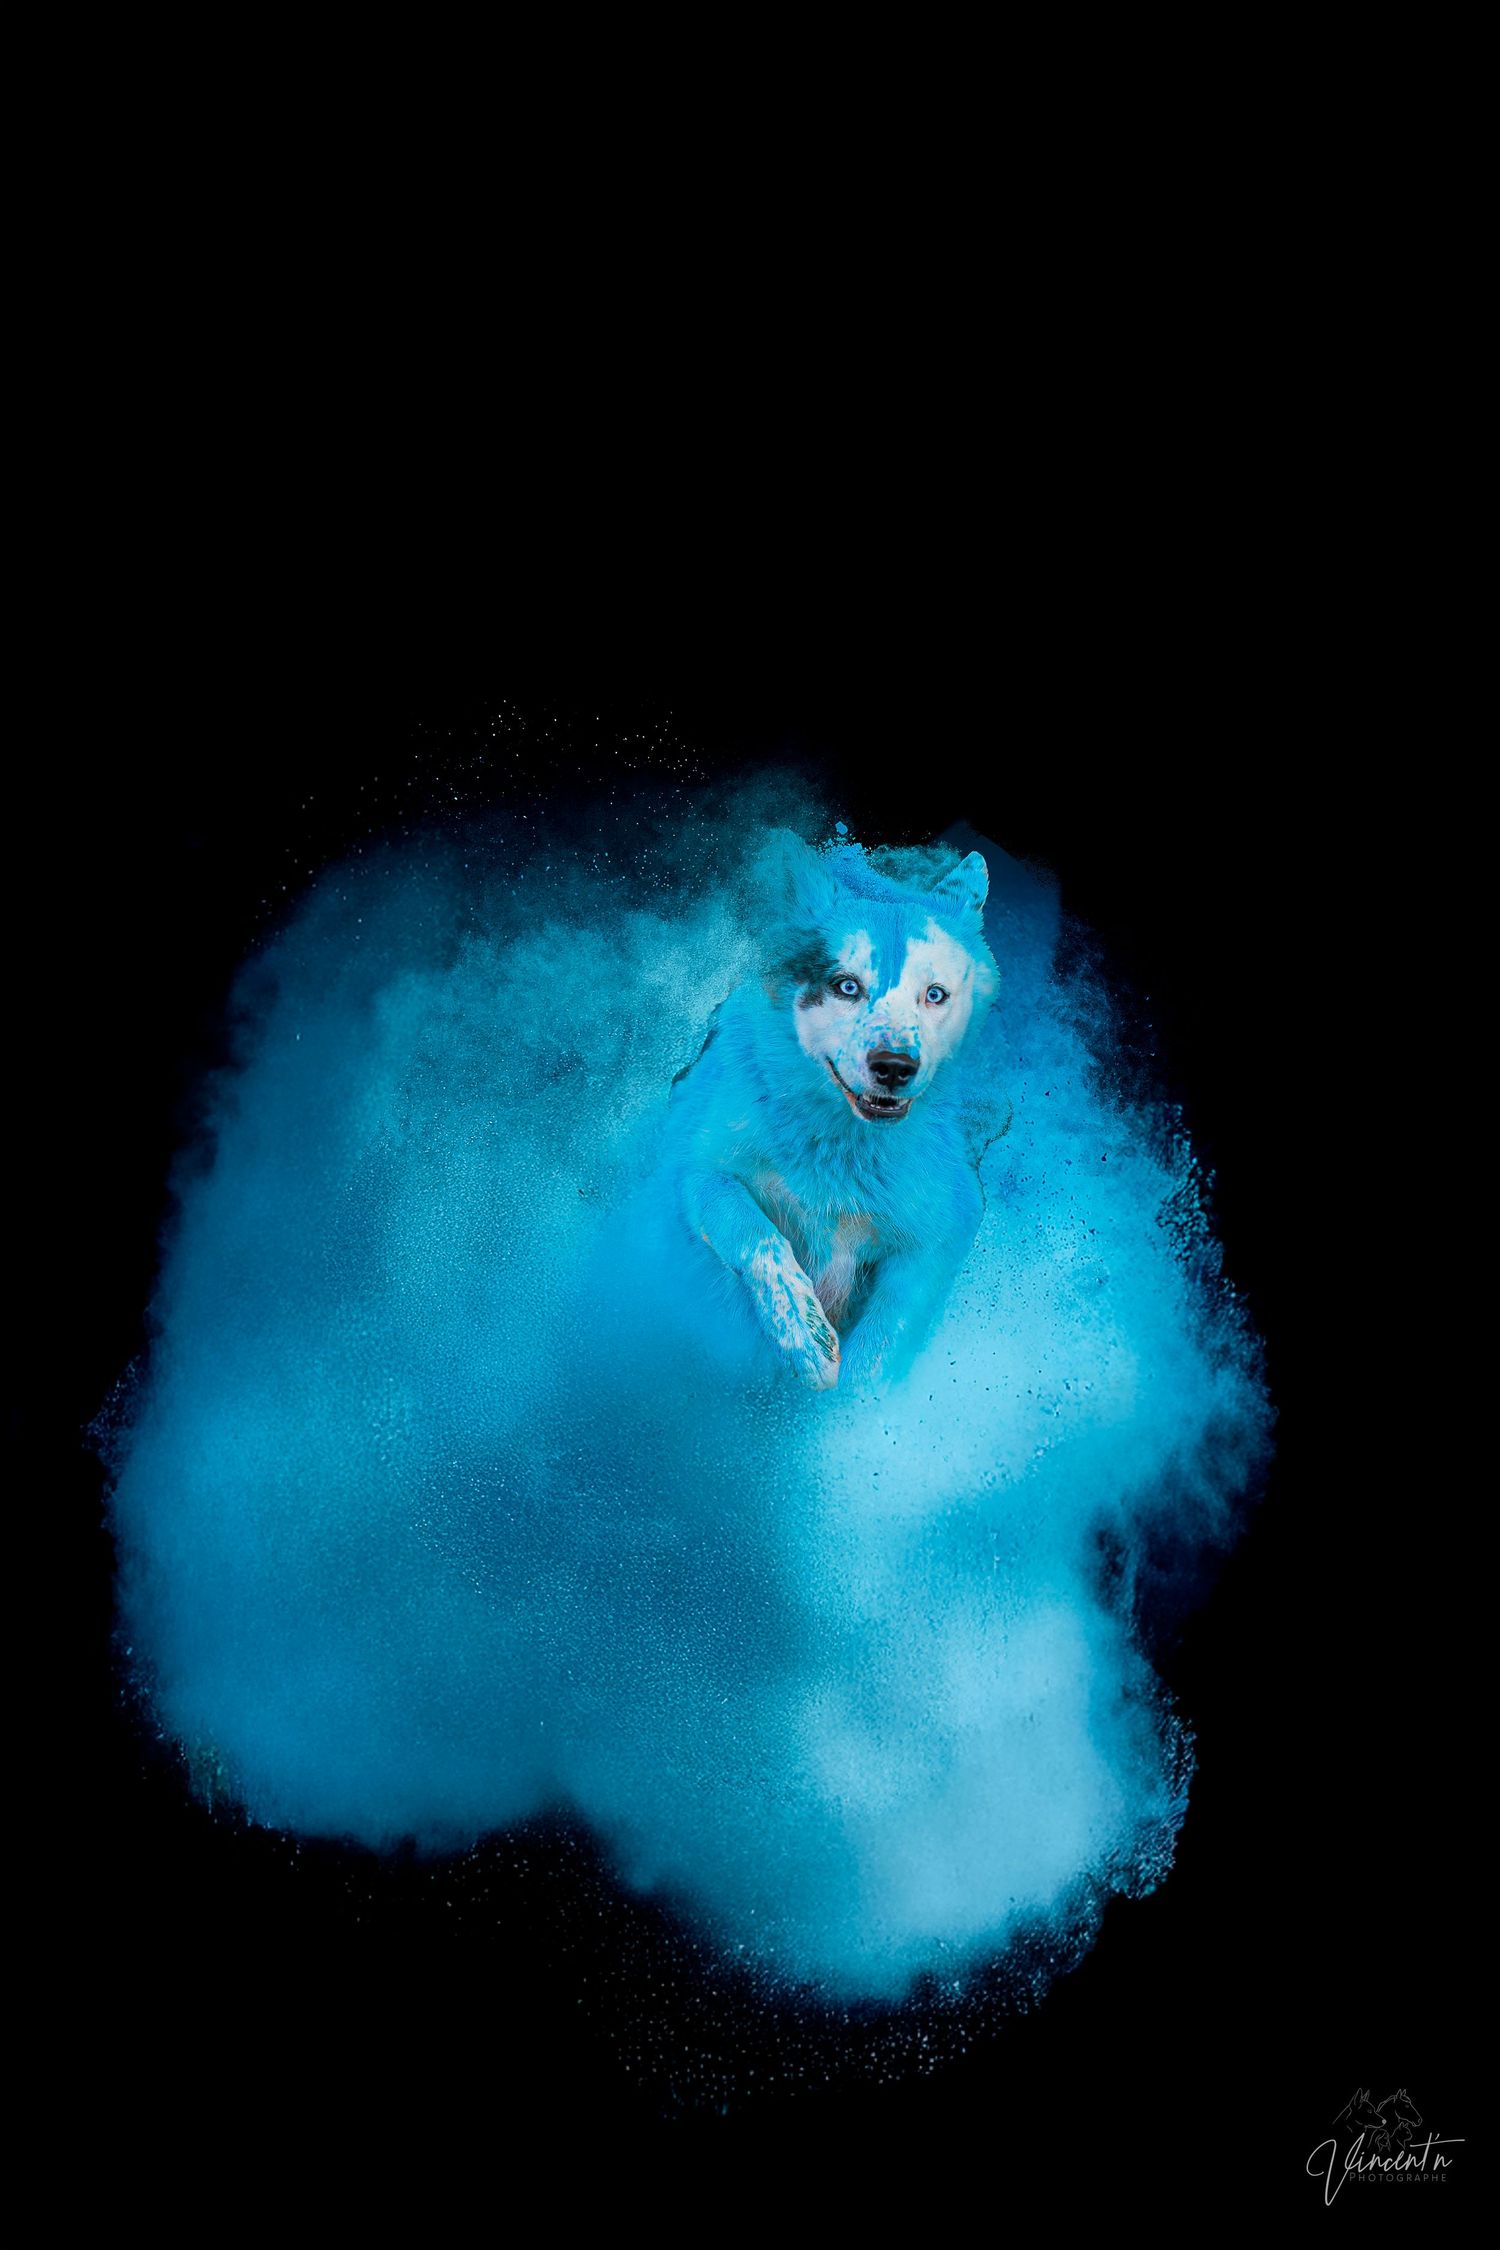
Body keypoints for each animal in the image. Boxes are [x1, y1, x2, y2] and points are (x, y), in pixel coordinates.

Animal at [656, 835, 1007, 1392]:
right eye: (846, 986)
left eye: (934, 995)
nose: (894, 1067)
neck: (839, 1149)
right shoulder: (699, 1170)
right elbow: (756, 1234)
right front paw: (805, 1337)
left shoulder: (942, 1234)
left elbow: (884, 1340)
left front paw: (853, 1407)